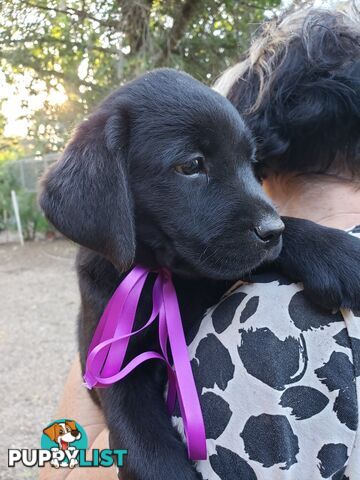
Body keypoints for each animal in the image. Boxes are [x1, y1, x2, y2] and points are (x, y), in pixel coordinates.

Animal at [39, 68, 360, 480]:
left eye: (251, 162)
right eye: (191, 165)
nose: (270, 231)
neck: (164, 277)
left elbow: (285, 236)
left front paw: (338, 254)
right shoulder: (112, 365)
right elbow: (144, 444)